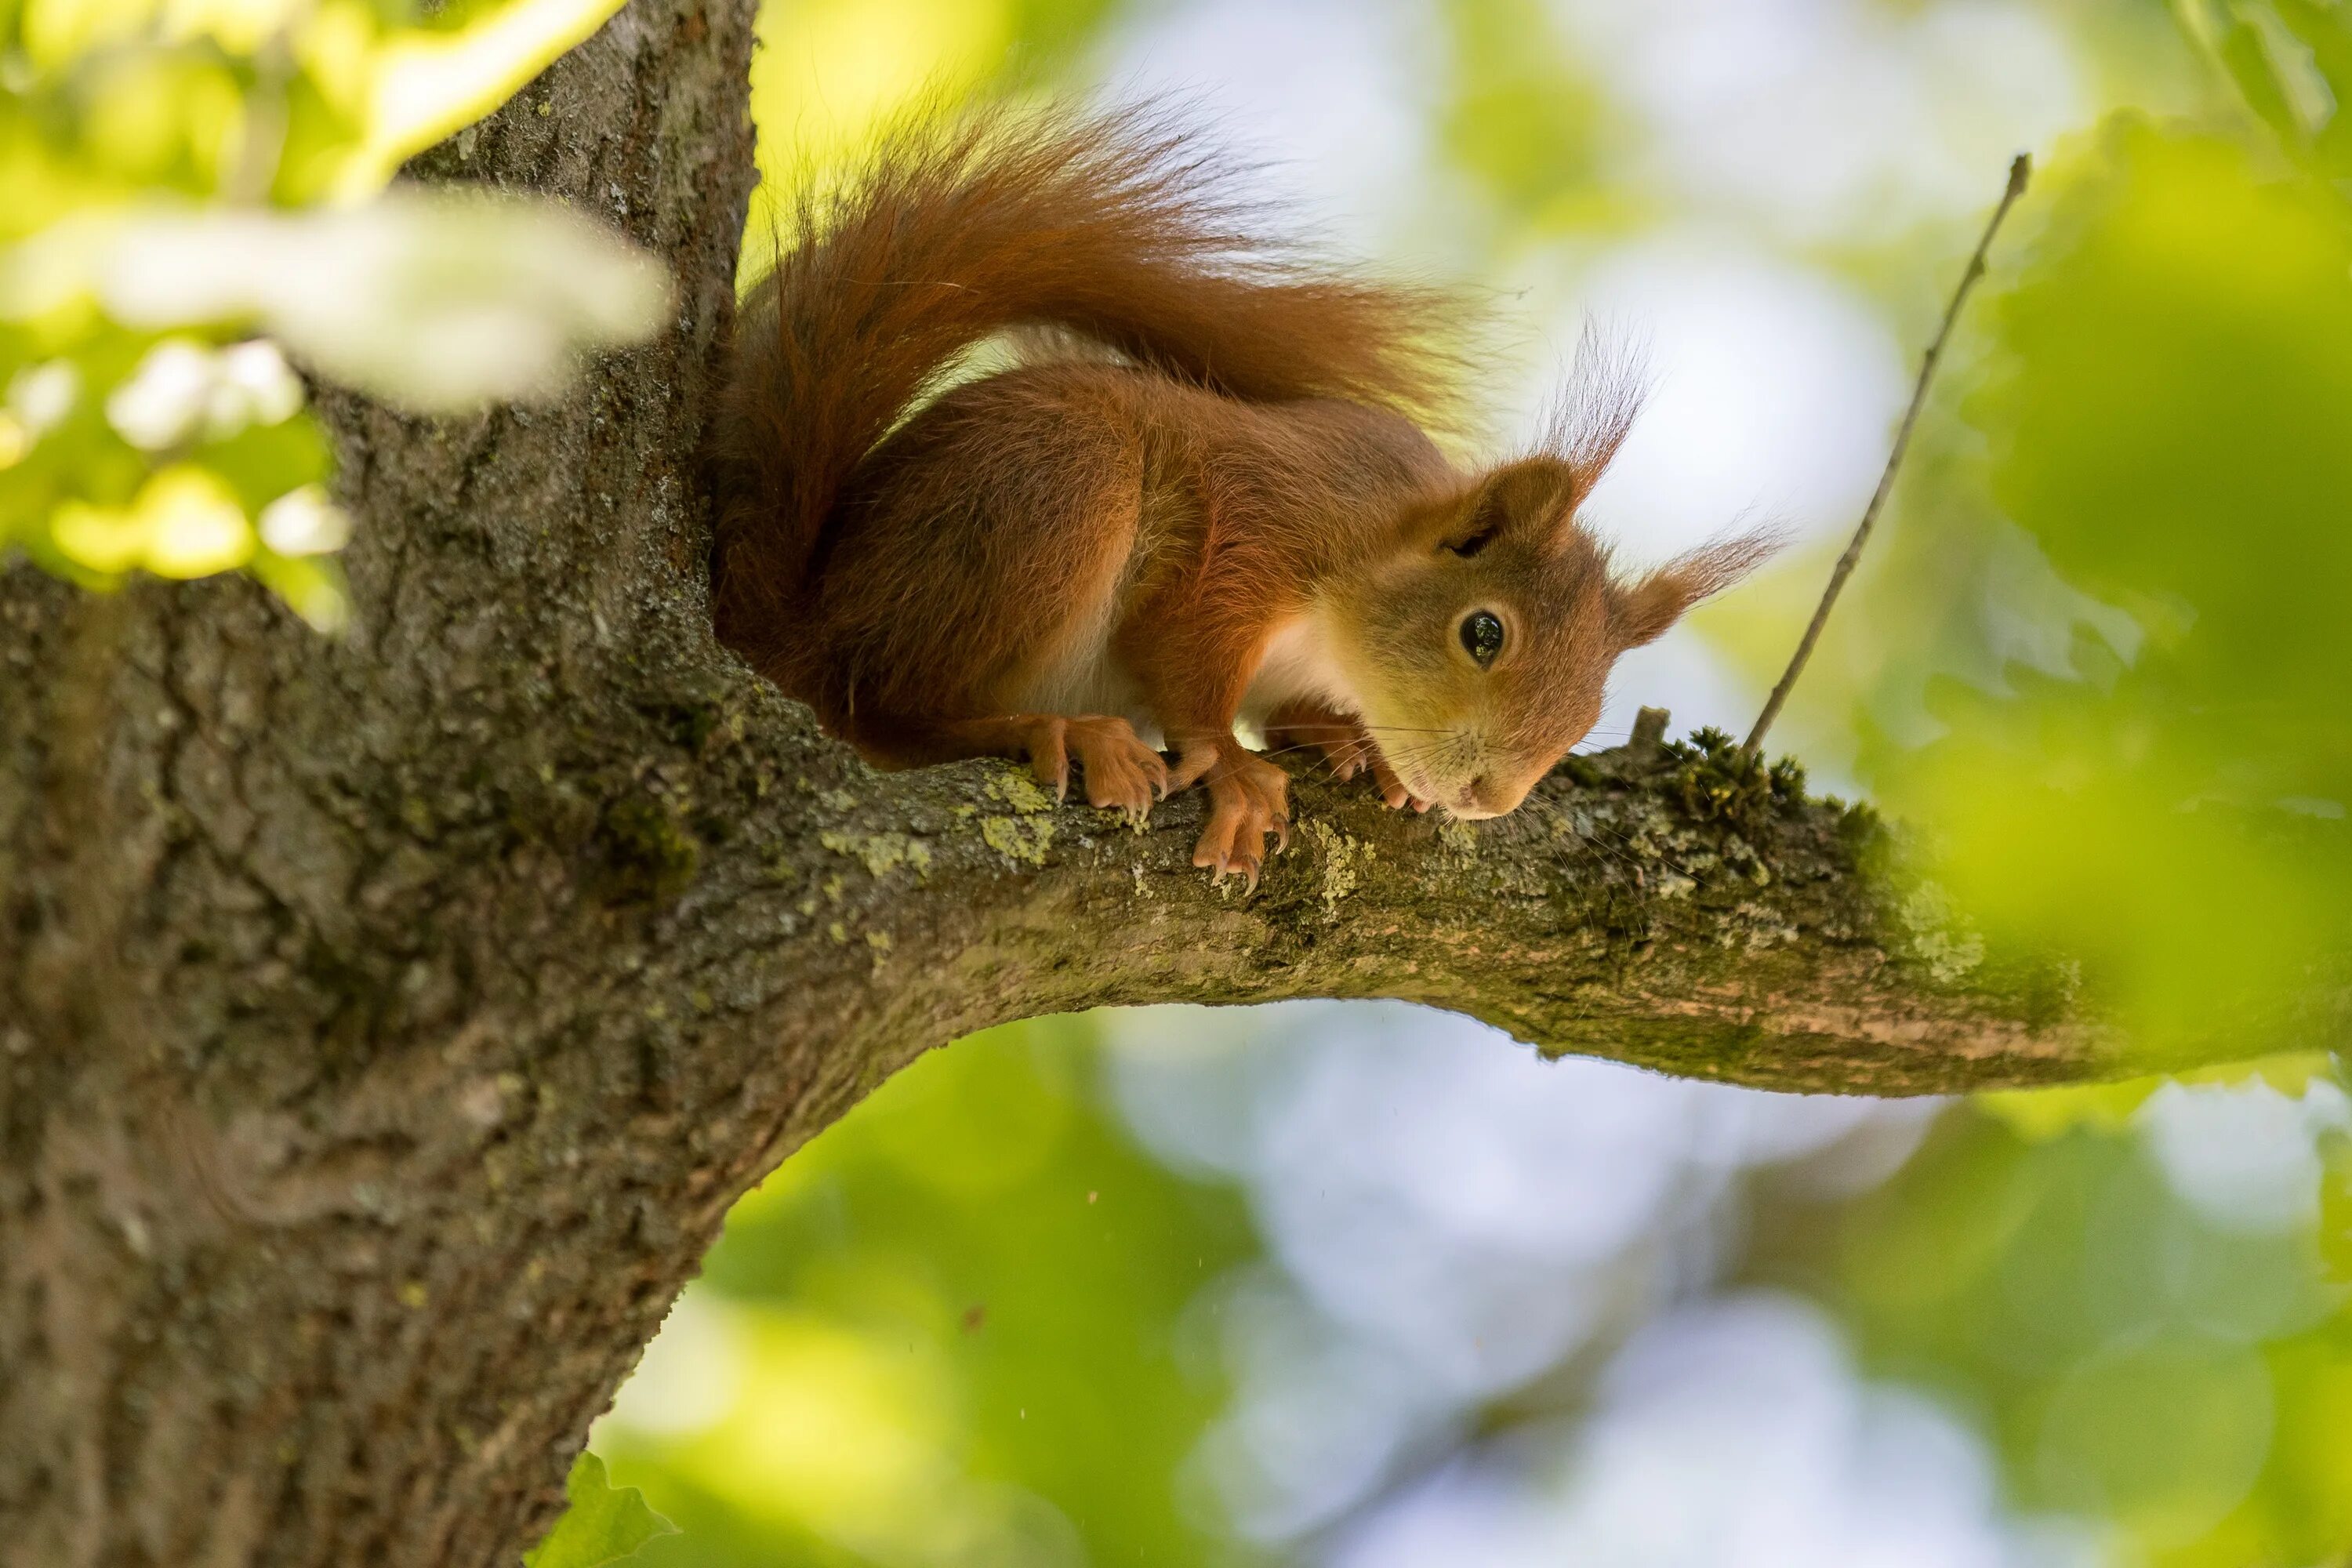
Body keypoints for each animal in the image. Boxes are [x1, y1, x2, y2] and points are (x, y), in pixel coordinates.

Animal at [706, 110, 1769, 888]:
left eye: (1593, 705)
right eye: (1483, 633)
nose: (1484, 796)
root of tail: (807, 623)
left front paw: (1350, 744)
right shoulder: (1254, 527)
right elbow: (1186, 655)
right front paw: (1239, 765)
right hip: (1054, 497)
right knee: (886, 712)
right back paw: (1055, 730)